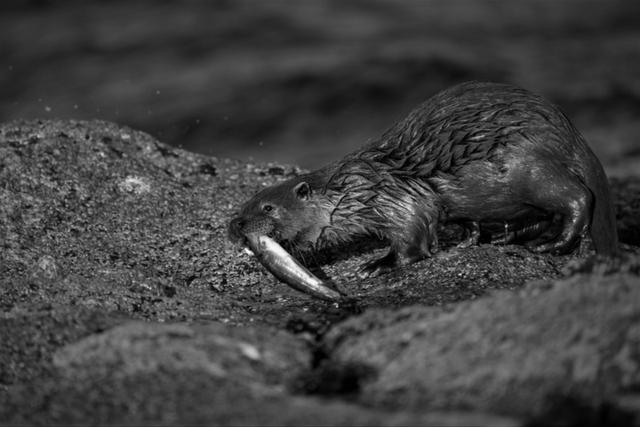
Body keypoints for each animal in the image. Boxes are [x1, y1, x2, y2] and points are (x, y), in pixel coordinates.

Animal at [228, 81, 616, 282]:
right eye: (244, 205)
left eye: (267, 207)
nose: (236, 226)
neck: (352, 189)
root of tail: (571, 134)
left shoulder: (395, 198)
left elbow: (412, 233)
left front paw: (377, 264)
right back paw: (502, 236)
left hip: (528, 166)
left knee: (577, 197)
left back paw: (554, 244)